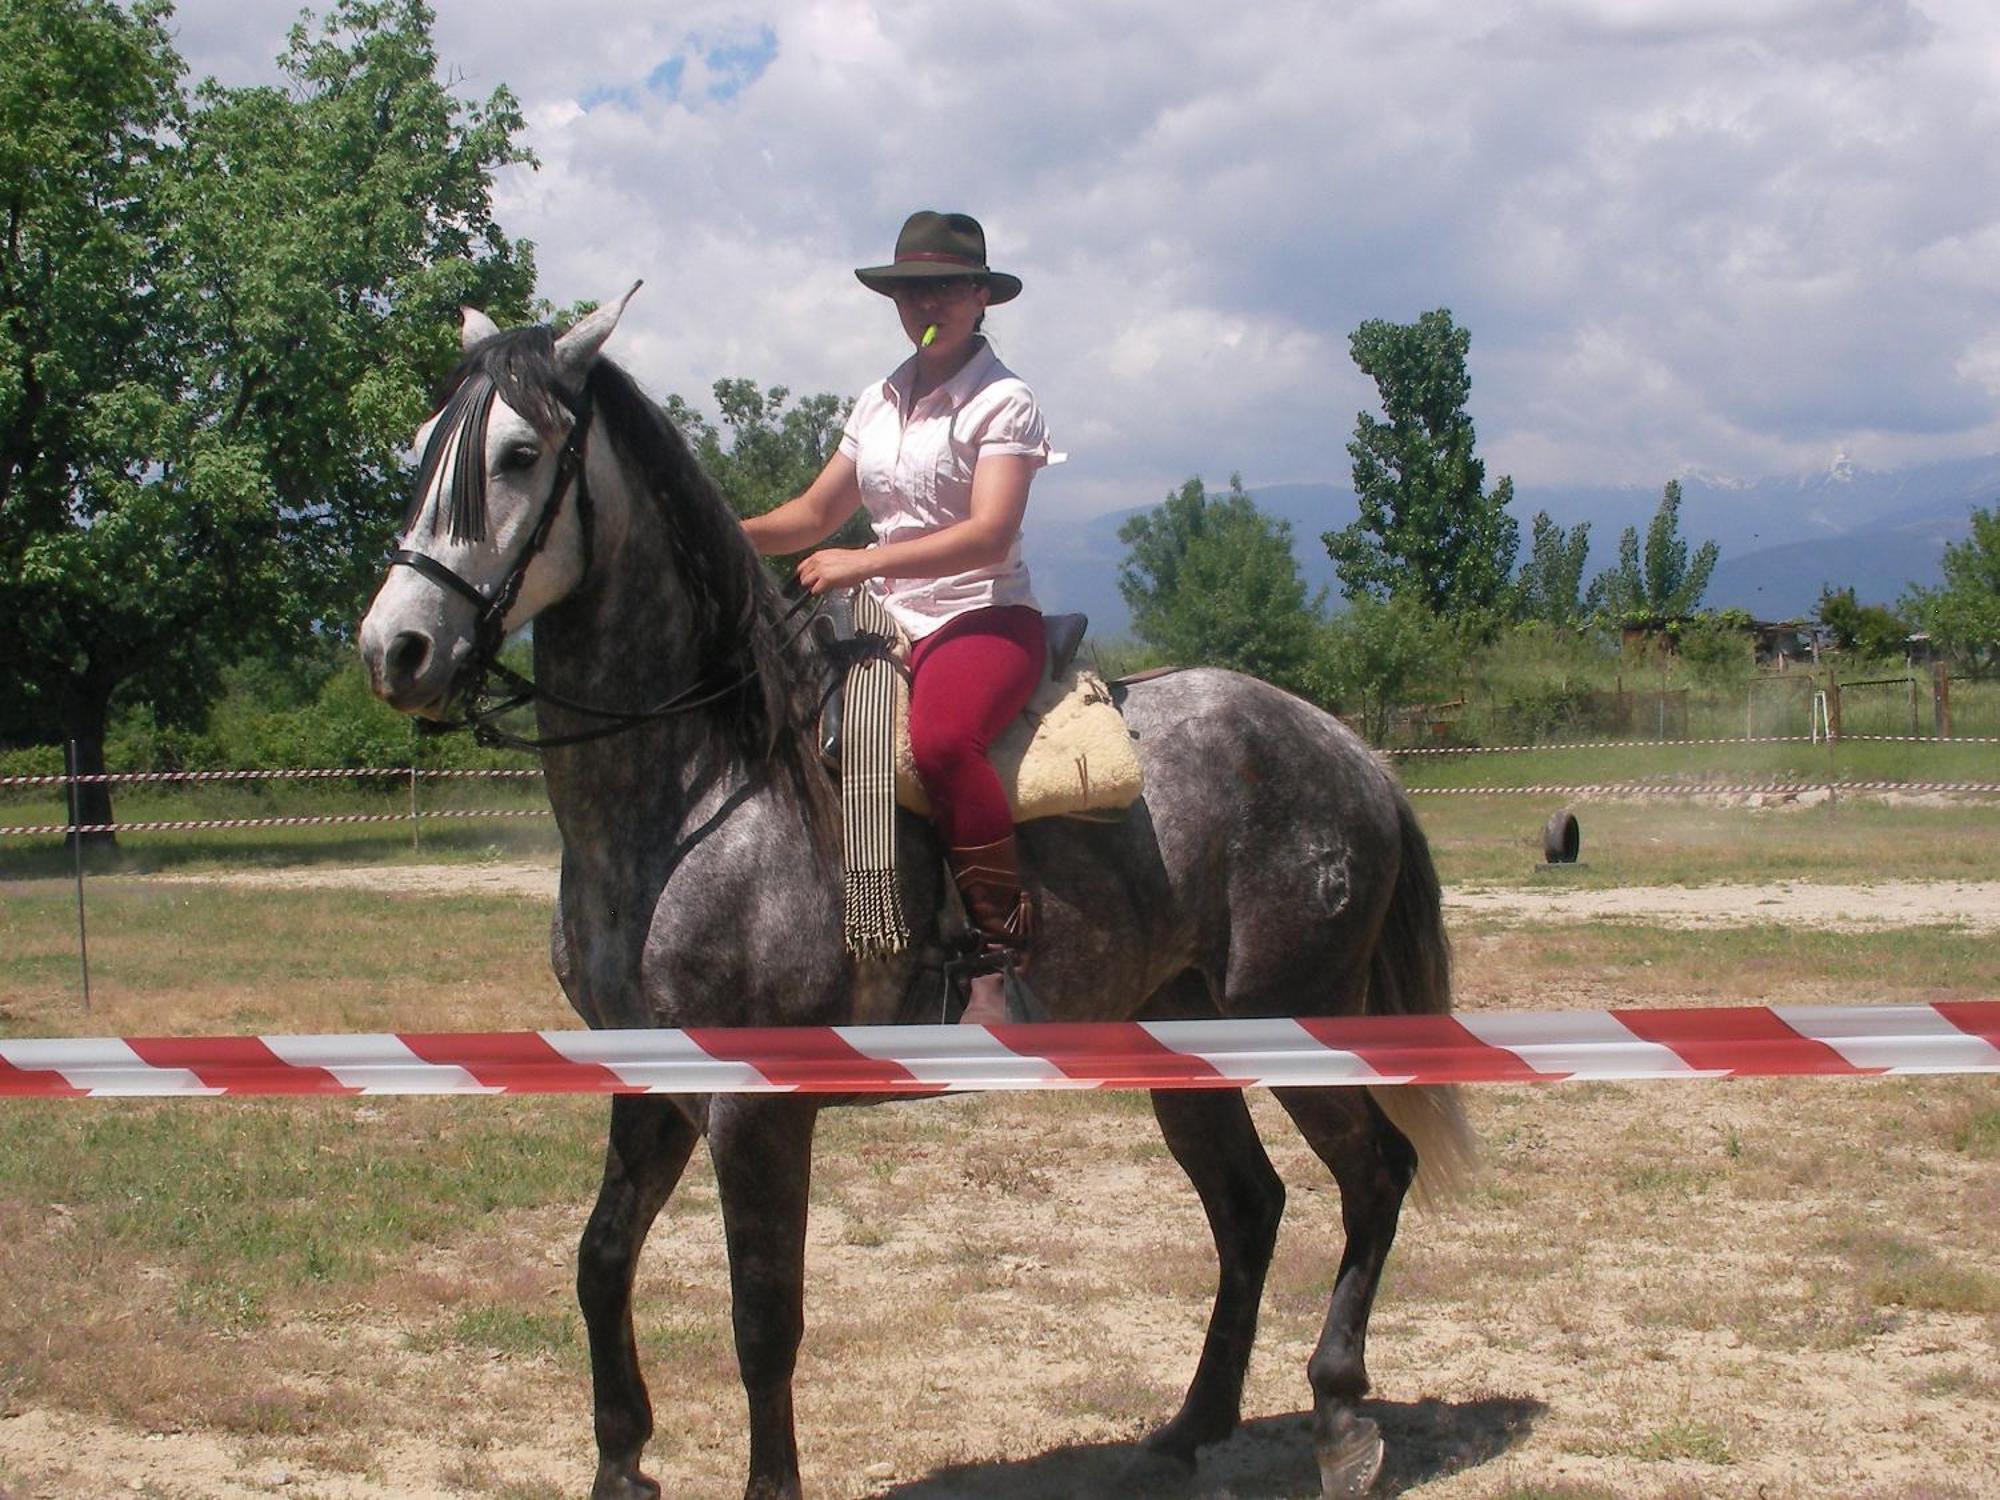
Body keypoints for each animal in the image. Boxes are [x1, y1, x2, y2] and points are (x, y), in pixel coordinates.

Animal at [364, 296, 1472, 1500]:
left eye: (519, 455)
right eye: (422, 449)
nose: (397, 649)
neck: (711, 785)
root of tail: (1346, 751)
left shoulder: (758, 1109)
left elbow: (763, 1317)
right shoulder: (647, 1078)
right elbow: (600, 1260)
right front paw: (621, 1466)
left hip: (1296, 1020)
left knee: (1372, 1177)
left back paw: (1341, 1424)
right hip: (1179, 1036)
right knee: (1249, 1207)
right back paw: (1188, 1429)